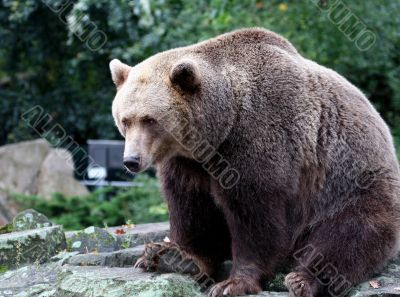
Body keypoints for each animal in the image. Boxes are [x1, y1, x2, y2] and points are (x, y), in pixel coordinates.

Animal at [109, 28, 400, 296]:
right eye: (125, 120)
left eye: (149, 119)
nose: (131, 160)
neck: (219, 128)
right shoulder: (188, 161)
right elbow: (191, 204)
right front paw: (177, 256)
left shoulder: (258, 138)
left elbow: (255, 215)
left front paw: (233, 283)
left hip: (350, 183)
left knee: (349, 233)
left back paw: (302, 279)